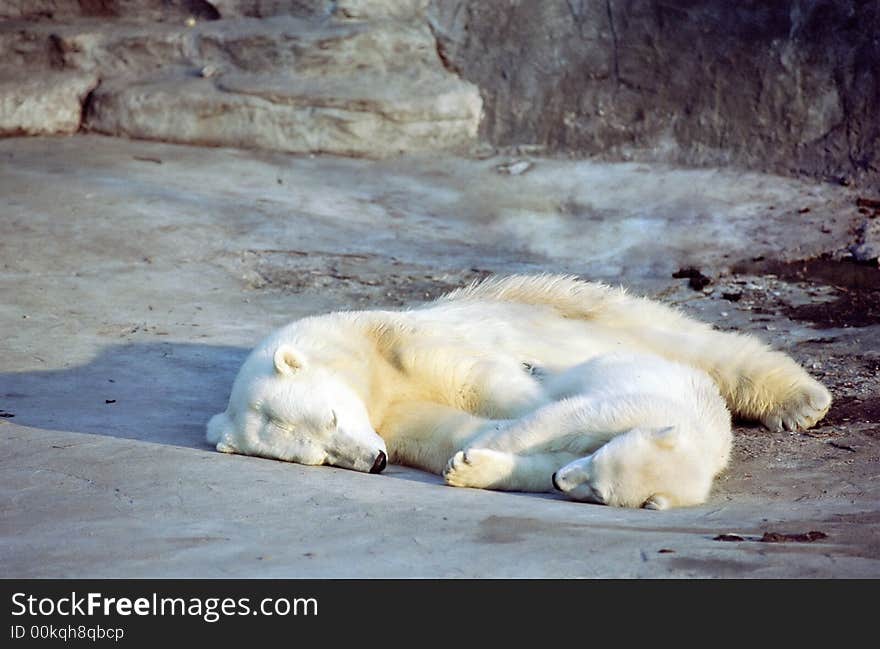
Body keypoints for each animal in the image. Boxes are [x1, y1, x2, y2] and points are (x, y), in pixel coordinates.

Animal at [208, 272, 832, 506]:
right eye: (318, 455)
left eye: (333, 418)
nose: (376, 461)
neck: (369, 364)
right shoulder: (394, 414)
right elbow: (440, 429)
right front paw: (475, 457)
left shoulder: (405, 340)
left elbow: (489, 384)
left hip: (570, 305)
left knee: (698, 346)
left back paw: (803, 402)